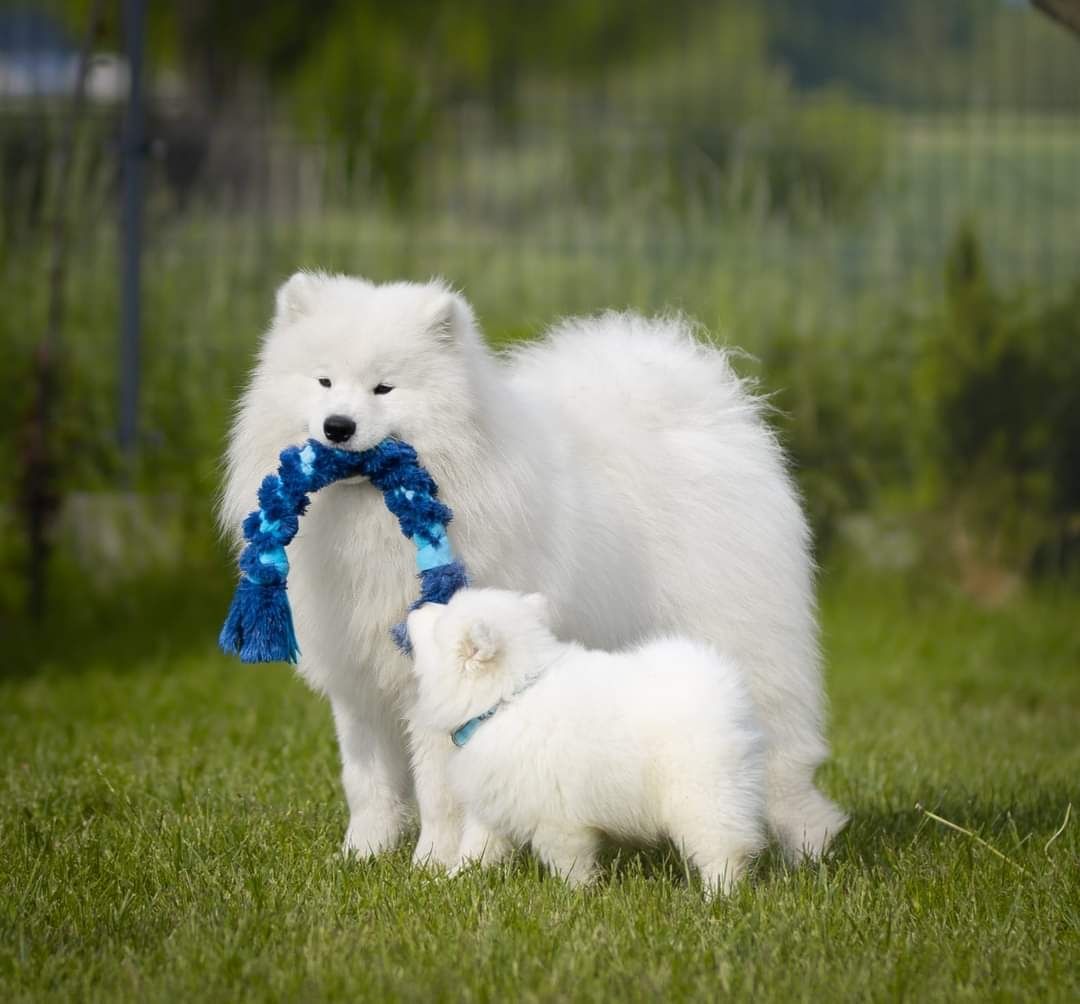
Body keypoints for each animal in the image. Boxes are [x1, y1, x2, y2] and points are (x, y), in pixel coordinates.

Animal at [406, 587, 768, 893]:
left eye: (438, 624)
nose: (417, 607)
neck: (508, 698)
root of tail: (720, 684)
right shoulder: (496, 799)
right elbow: (477, 848)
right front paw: (451, 879)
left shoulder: (558, 818)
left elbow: (568, 861)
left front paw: (574, 896)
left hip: (703, 794)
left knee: (722, 848)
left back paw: (719, 895)